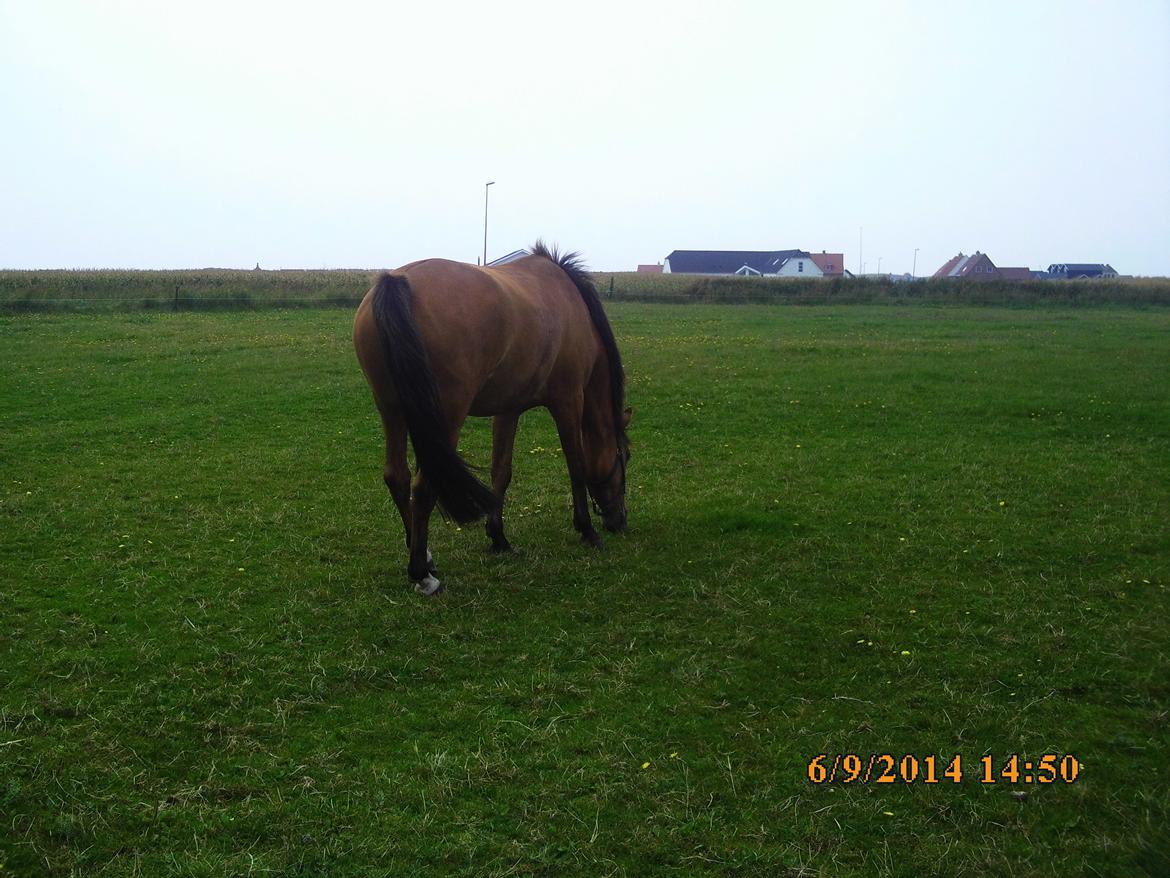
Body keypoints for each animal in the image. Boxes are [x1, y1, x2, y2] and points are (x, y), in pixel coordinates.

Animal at [351, 241, 631, 599]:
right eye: (625, 457)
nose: (618, 521)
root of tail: (397, 281)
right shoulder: (568, 401)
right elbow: (576, 465)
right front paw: (587, 531)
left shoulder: (508, 409)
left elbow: (502, 470)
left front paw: (498, 537)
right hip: (446, 416)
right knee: (424, 487)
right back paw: (422, 574)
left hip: (392, 410)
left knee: (397, 477)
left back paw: (424, 556)